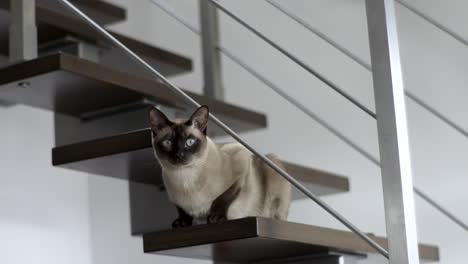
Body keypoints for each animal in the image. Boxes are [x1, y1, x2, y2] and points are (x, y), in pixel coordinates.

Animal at [148, 104, 290, 227]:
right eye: (168, 142)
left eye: (190, 142)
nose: (179, 155)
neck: (185, 179)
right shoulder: (174, 197)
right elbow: (181, 209)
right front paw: (182, 222)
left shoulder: (241, 164)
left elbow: (223, 198)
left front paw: (215, 217)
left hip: (271, 166)